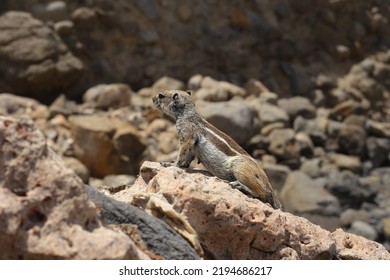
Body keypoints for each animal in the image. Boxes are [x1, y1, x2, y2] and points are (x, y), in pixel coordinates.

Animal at [152, 88, 284, 209]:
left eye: (161, 95)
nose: (152, 99)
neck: (187, 112)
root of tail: (268, 184)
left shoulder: (187, 135)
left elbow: (182, 152)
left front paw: (171, 164)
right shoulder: (192, 146)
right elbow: (188, 156)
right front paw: (183, 165)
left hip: (240, 167)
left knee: (260, 192)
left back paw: (241, 186)